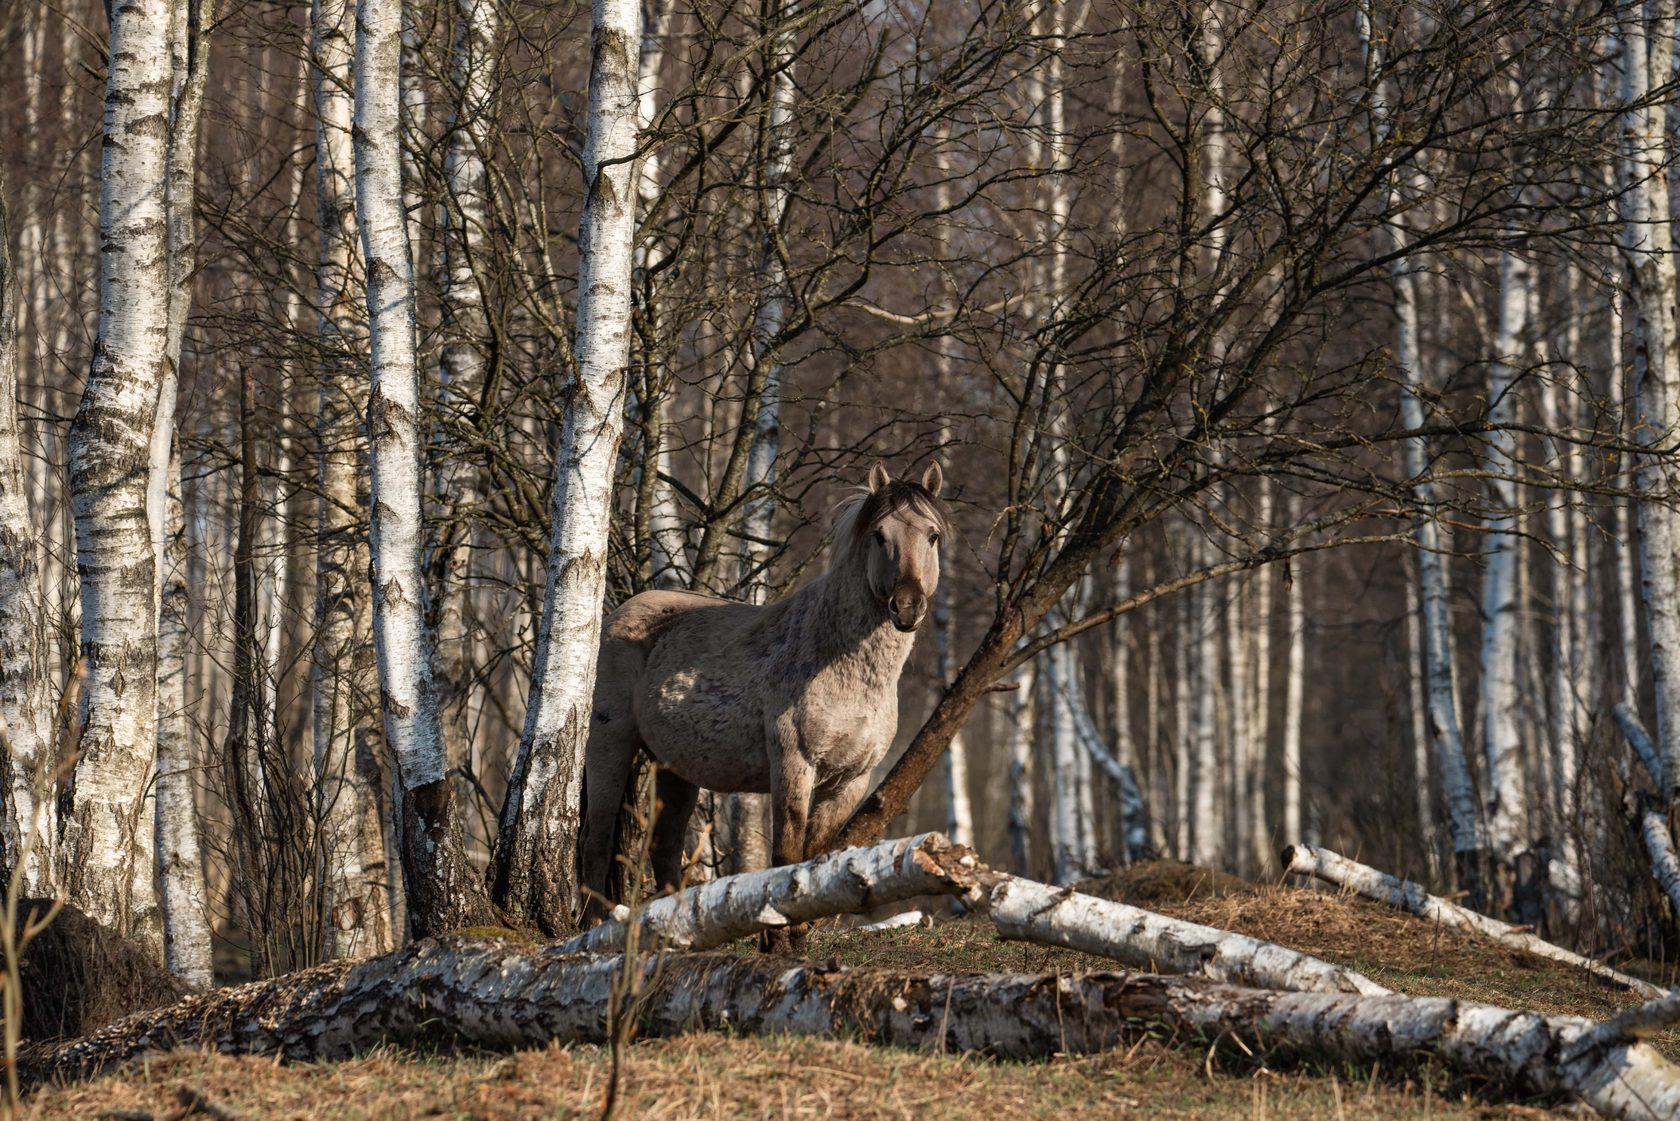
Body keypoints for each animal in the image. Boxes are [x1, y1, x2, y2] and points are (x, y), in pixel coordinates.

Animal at [577, 460, 947, 927]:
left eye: (932, 535)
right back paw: (592, 924)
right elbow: (785, 858)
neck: (840, 665)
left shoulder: (850, 782)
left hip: (675, 767)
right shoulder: (794, 766)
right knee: (598, 837)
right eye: (879, 535)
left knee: (665, 847)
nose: (907, 605)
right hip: (609, 744)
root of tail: (616, 617)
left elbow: (814, 858)